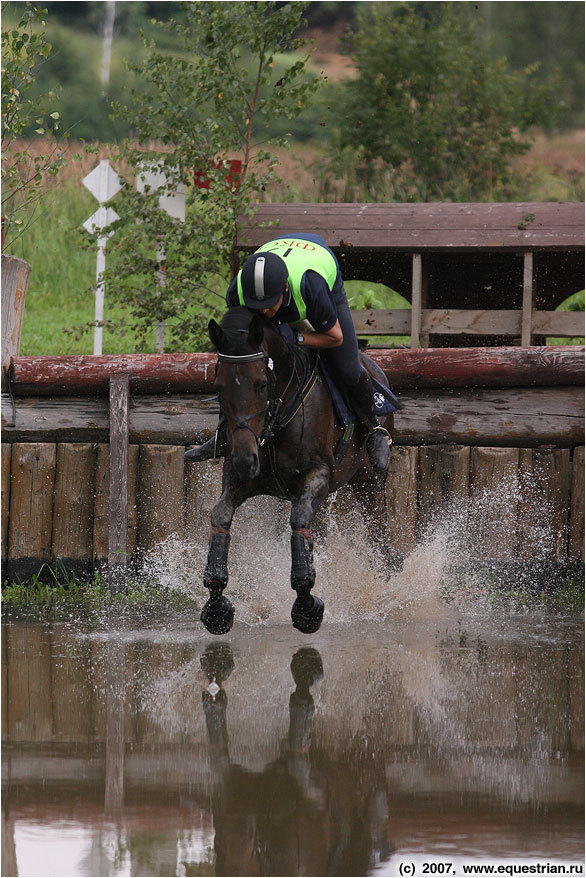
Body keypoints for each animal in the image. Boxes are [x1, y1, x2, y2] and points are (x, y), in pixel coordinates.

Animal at [195, 306, 392, 636]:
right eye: (218, 388)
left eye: (261, 383)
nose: (245, 460)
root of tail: (374, 364)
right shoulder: (238, 477)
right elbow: (220, 515)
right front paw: (216, 605)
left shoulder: (319, 474)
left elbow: (299, 519)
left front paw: (306, 604)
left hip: (370, 481)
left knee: (379, 529)